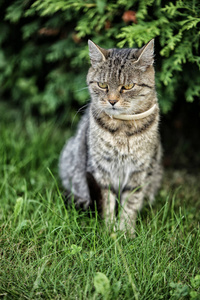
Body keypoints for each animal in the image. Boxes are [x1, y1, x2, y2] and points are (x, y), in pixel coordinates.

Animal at [58, 38, 162, 233]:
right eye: (103, 85)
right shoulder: (101, 171)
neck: (122, 130)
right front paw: (109, 231)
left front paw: (125, 233)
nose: (112, 101)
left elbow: (131, 204)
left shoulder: (138, 172)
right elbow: (107, 203)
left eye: (128, 86)